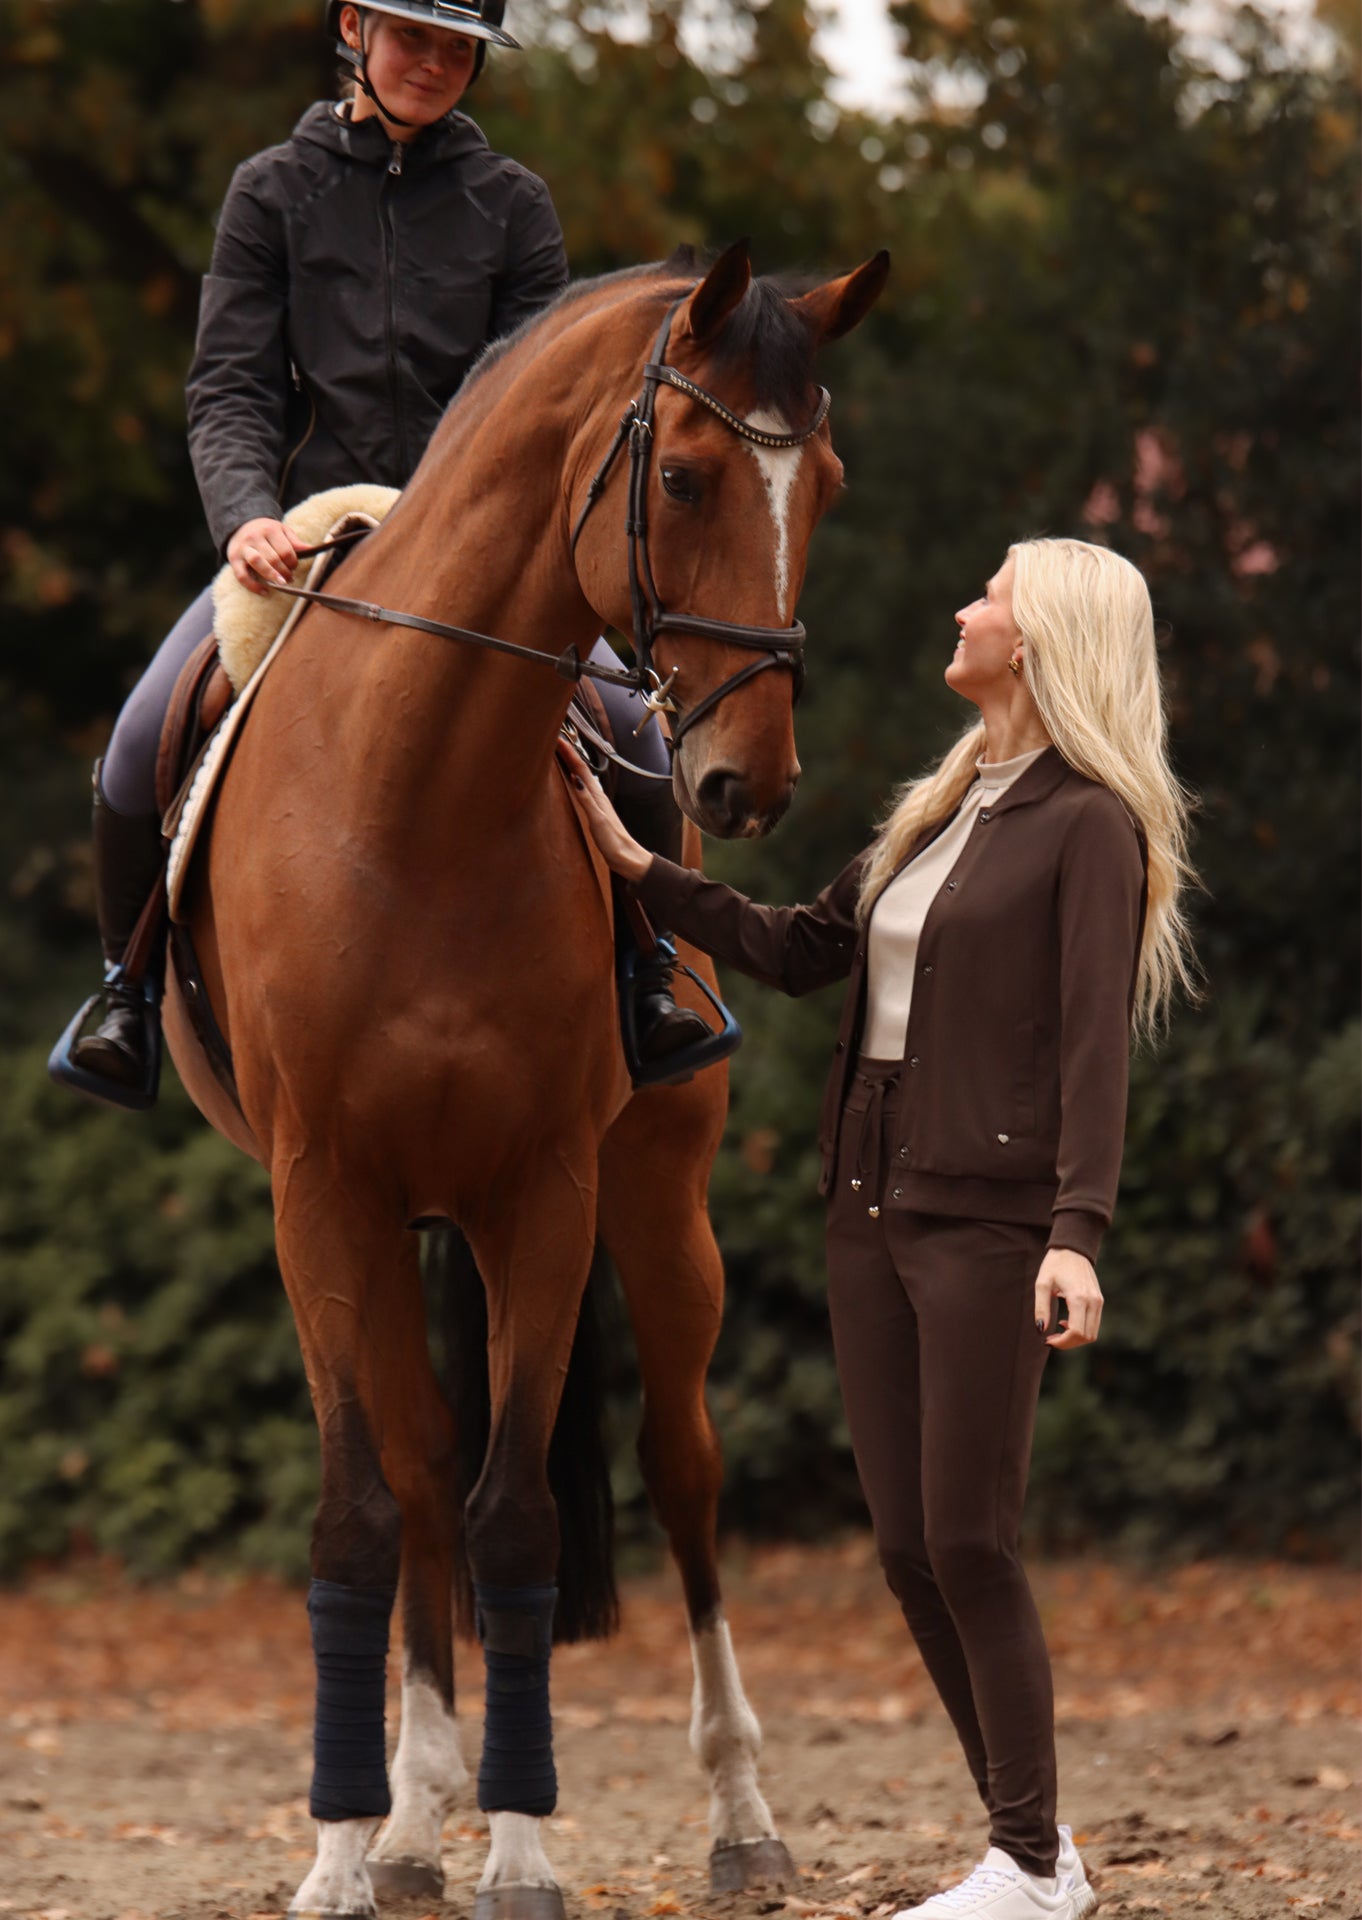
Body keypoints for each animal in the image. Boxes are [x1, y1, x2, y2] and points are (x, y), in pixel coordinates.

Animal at [162, 241, 888, 1920]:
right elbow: (370, 1505)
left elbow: (517, 1512)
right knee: (421, 1466)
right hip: (385, 1233)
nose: (745, 783)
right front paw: (349, 1851)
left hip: (656, 1206)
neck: (415, 794)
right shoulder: (323, 1200)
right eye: (681, 475)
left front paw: (525, 1847)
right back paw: (412, 1820)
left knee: (679, 1467)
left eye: (820, 483)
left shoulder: (541, 1195)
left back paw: (735, 1814)